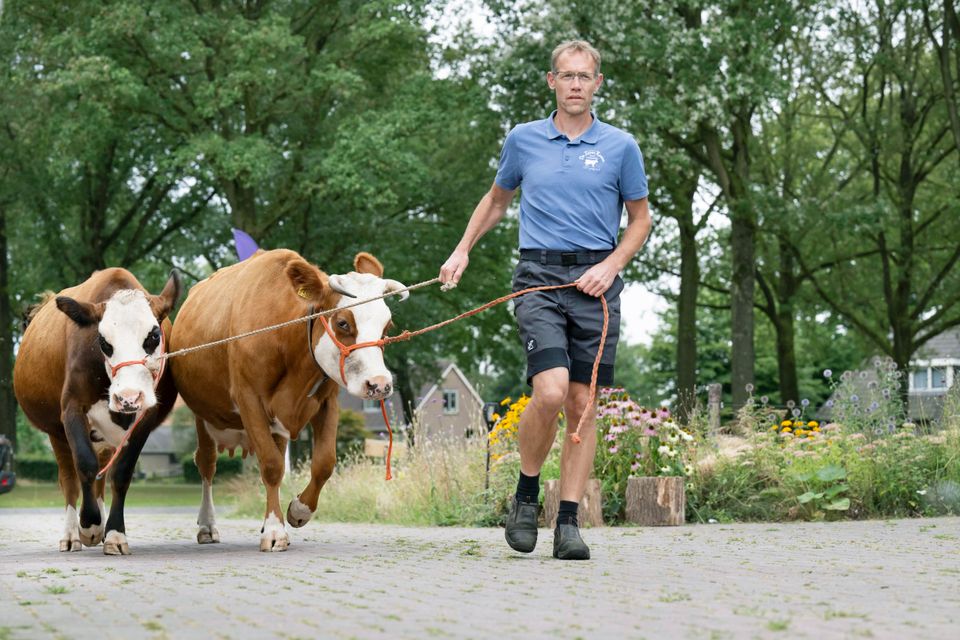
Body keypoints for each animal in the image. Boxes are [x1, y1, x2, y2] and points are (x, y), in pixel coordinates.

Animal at [13, 268, 181, 555]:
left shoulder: (146, 416)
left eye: (154, 336)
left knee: (102, 473)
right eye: (103, 342)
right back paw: (72, 534)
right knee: (69, 479)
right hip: (56, 434)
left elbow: (121, 472)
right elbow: (85, 464)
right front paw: (89, 524)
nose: (128, 397)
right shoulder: (72, 409)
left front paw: (114, 533)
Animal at [169, 249, 407, 551]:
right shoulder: (248, 399)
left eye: (387, 325)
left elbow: (324, 462)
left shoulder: (328, 401)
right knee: (207, 464)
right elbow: (271, 465)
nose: (380, 384)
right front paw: (274, 530)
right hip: (204, 416)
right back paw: (207, 526)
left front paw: (298, 511)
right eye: (343, 322)